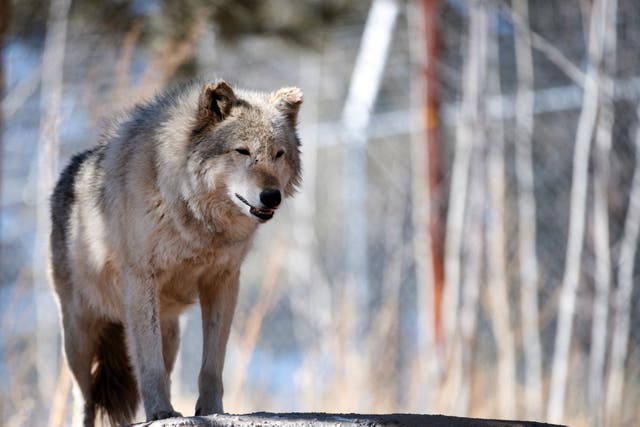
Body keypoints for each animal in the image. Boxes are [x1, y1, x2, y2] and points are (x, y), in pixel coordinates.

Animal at [49, 79, 302, 426]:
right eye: (243, 151)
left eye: (278, 154)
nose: (272, 196)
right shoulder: (140, 280)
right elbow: (148, 364)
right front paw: (160, 411)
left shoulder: (223, 281)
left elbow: (212, 364)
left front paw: (210, 410)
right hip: (79, 336)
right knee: (82, 397)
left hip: (169, 333)